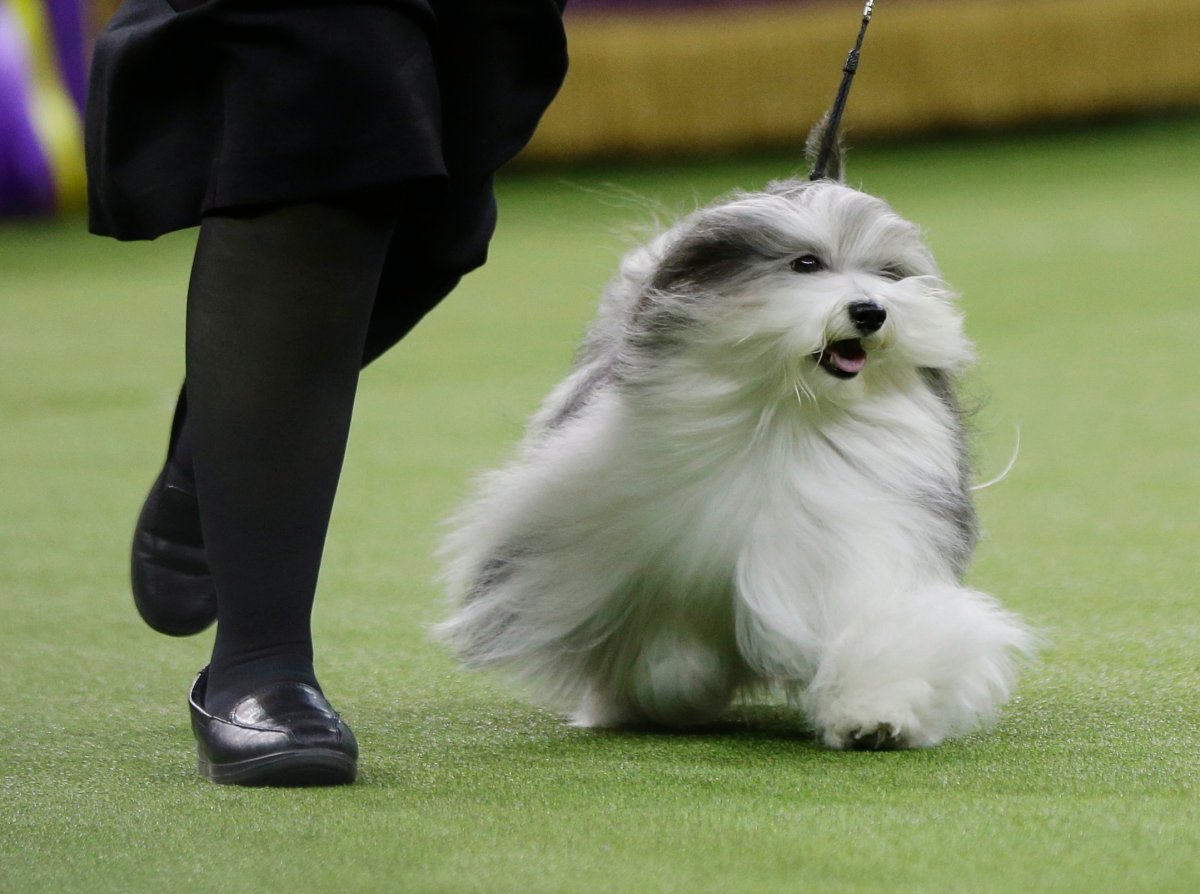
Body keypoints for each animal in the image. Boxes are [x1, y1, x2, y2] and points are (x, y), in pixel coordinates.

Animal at [441, 139, 1032, 748]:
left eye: (888, 273)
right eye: (805, 264)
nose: (871, 311)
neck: (787, 415)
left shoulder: (858, 536)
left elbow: (879, 628)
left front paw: (873, 714)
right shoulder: (628, 557)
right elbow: (664, 647)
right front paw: (676, 689)